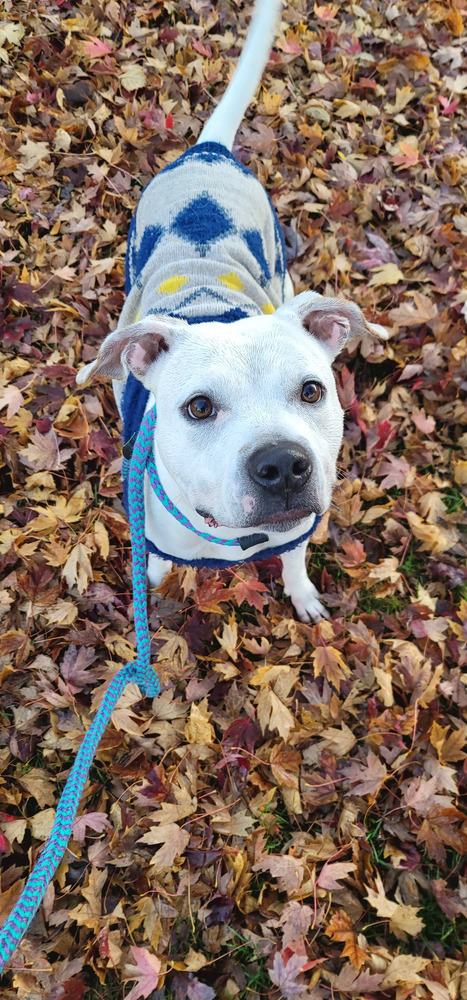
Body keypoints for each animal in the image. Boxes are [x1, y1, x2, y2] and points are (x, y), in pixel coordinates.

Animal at [77, 0, 388, 620]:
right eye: (198, 407)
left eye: (313, 391)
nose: (283, 465)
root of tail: (210, 151)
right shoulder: (156, 535)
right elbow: (157, 565)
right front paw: (155, 583)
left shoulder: (298, 532)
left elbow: (294, 560)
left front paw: (302, 594)